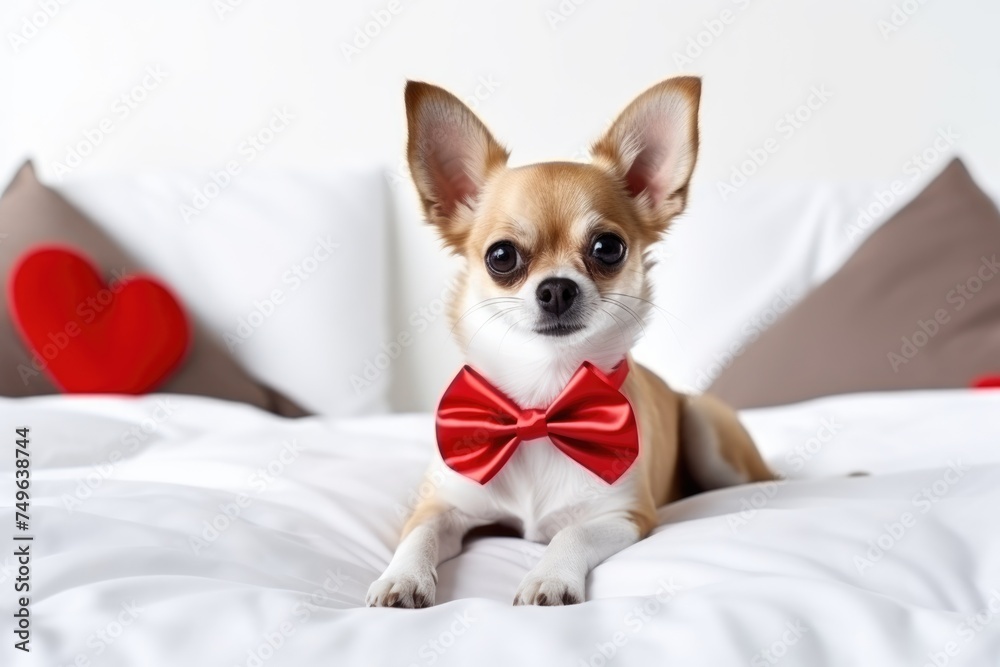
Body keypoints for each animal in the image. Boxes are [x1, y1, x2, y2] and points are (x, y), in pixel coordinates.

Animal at [368, 75, 772, 608]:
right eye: (501, 256)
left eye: (608, 248)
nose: (557, 287)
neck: (542, 402)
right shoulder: (441, 503)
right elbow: (419, 534)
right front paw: (403, 576)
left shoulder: (625, 515)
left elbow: (571, 532)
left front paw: (549, 578)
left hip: (708, 432)